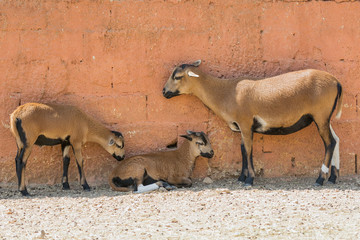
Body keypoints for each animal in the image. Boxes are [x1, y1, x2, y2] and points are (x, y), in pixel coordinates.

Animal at [163, 60, 344, 188]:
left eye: (177, 76)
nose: (164, 92)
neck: (226, 92)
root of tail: (336, 82)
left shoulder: (245, 123)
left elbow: (248, 150)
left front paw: (249, 180)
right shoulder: (242, 127)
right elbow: (243, 150)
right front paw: (241, 178)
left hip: (320, 116)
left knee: (329, 143)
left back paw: (320, 179)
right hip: (325, 118)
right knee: (336, 139)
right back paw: (333, 178)